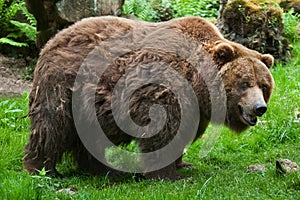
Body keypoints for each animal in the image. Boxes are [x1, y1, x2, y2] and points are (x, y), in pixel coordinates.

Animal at [24, 16, 274, 180]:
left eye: (264, 85)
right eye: (244, 83)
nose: (259, 107)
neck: (197, 81)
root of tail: (52, 39)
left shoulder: (194, 108)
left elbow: (183, 132)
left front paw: (184, 164)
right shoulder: (164, 90)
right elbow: (162, 133)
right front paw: (168, 174)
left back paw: (101, 168)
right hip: (64, 84)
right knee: (53, 125)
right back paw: (43, 169)